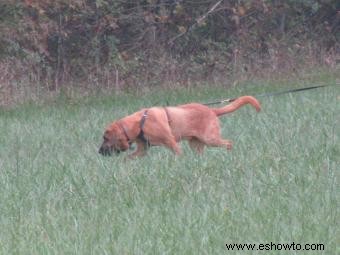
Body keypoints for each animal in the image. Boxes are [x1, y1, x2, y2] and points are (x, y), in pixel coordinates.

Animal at [98, 96, 260, 157]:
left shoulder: (171, 143)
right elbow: (128, 158)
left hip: (210, 138)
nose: (99, 152)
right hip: (196, 144)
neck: (140, 123)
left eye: (106, 138)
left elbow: (178, 154)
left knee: (229, 143)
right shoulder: (142, 149)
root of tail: (212, 110)